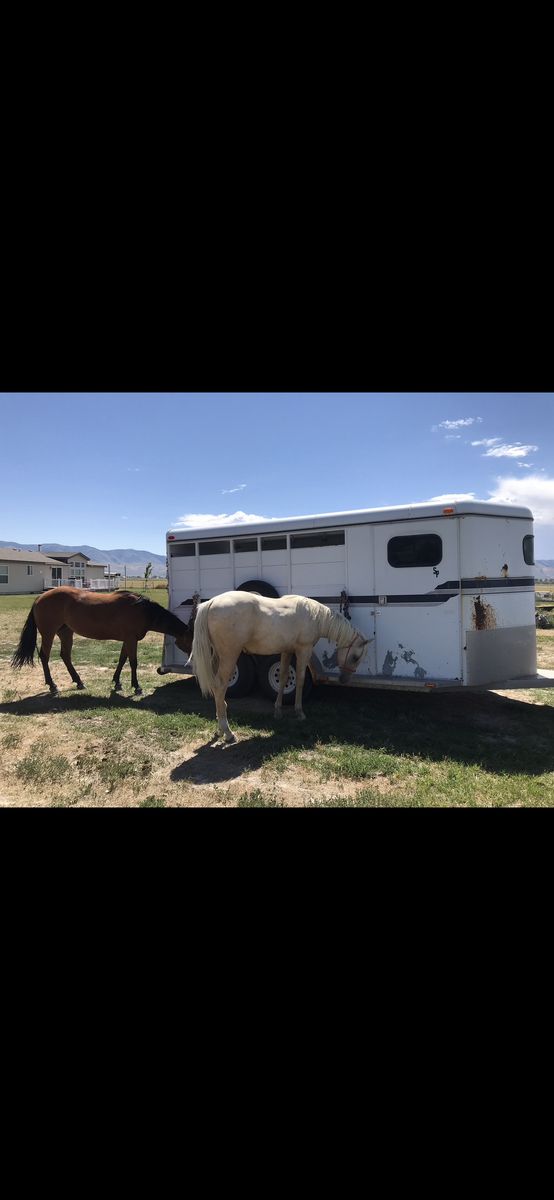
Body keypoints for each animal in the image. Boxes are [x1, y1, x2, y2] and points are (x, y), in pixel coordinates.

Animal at [11, 586, 193, 696]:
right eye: (190, 642)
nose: (191, 662)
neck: (142, 610)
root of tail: (40, 597)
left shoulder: (127, 639)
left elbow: (122, 660)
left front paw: (117, 682)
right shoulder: (131, 639)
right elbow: (133, 662)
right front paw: (137, 687)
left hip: (66, 632)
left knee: (65, 656)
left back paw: (79, 682)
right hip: (49, 633)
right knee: (45, 656)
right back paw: (52, 685)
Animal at [189, 590, 371, 743]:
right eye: (355, 657)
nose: (344, 679)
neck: (315, 616)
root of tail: (211, 602)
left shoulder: (286, 651)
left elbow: (283, 677)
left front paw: (278, 711)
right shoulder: (303, 650)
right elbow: (300, 679)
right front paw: (299, 712)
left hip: (217, 657)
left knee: (216, 687)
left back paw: (220, 730)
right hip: (229, 656)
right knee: (220, 686)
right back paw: (228, 732)